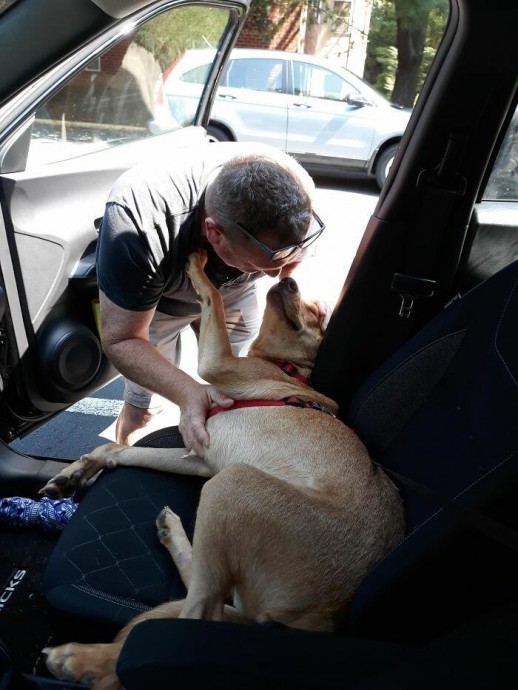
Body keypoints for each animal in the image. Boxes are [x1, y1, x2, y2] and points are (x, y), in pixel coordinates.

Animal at [42, 250, 406, 684]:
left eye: (318, 313)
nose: (288, 280)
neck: (285, 369)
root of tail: (323, 620)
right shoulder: (201, 457)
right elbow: (119, 450)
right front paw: (75, 473)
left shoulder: (217, 368)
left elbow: (212, 296)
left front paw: (199, 267)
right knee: (205, 595)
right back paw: (172, 534)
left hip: (233, 483)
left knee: (197, 615)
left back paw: (83, 658)